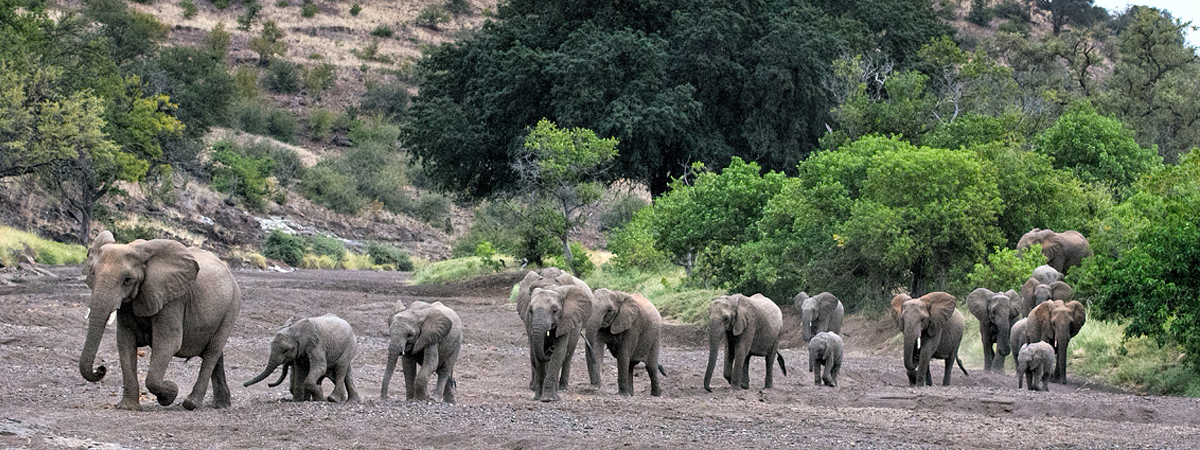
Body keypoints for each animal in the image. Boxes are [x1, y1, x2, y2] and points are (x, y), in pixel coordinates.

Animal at [78, 230, 241, 410]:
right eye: (93, 273)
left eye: (127, 280)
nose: (101, 368)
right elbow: (125, 342)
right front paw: (128, 407)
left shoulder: (172, 301)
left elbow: (168, 343)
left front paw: (170, 392)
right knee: (215, 353)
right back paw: (221, 405)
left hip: (232, 307)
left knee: (212, 351)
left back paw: (191, 403)